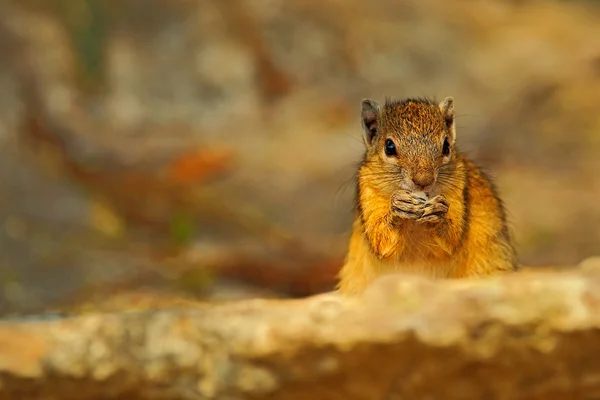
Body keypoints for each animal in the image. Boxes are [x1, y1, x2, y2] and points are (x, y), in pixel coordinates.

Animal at [336, 97, 516, 296]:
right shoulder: (368, 191)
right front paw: (398, 207)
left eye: (446, 146)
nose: (423, 181)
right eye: (389, 147)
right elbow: (381, 239)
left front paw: (438, 213)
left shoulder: (459, 188)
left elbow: (450, 241)